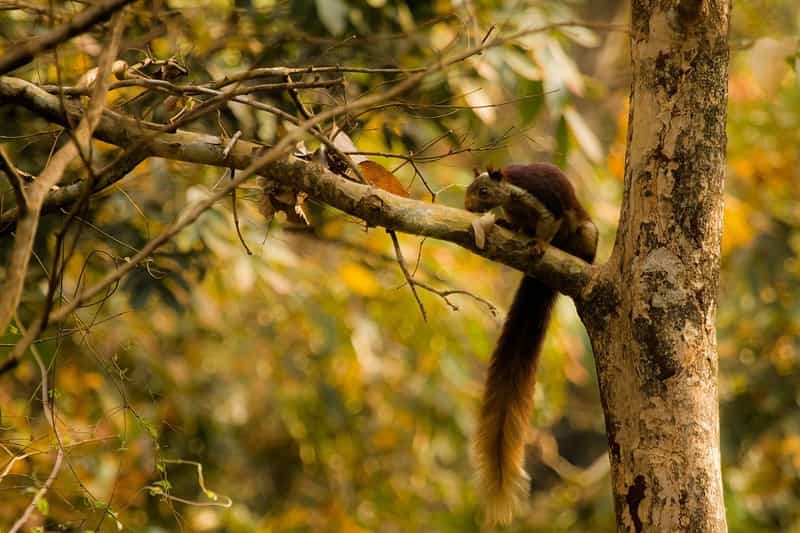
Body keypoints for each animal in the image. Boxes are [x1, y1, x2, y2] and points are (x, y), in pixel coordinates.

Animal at [460, 163, 596, 524]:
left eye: (483, 192)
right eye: (470, 190)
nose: (468, 207)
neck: (510, 194)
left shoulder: (543, 201)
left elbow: (550, 223)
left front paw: (539, 245)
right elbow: (519, 222)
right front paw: (511, 225)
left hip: (586, 233)